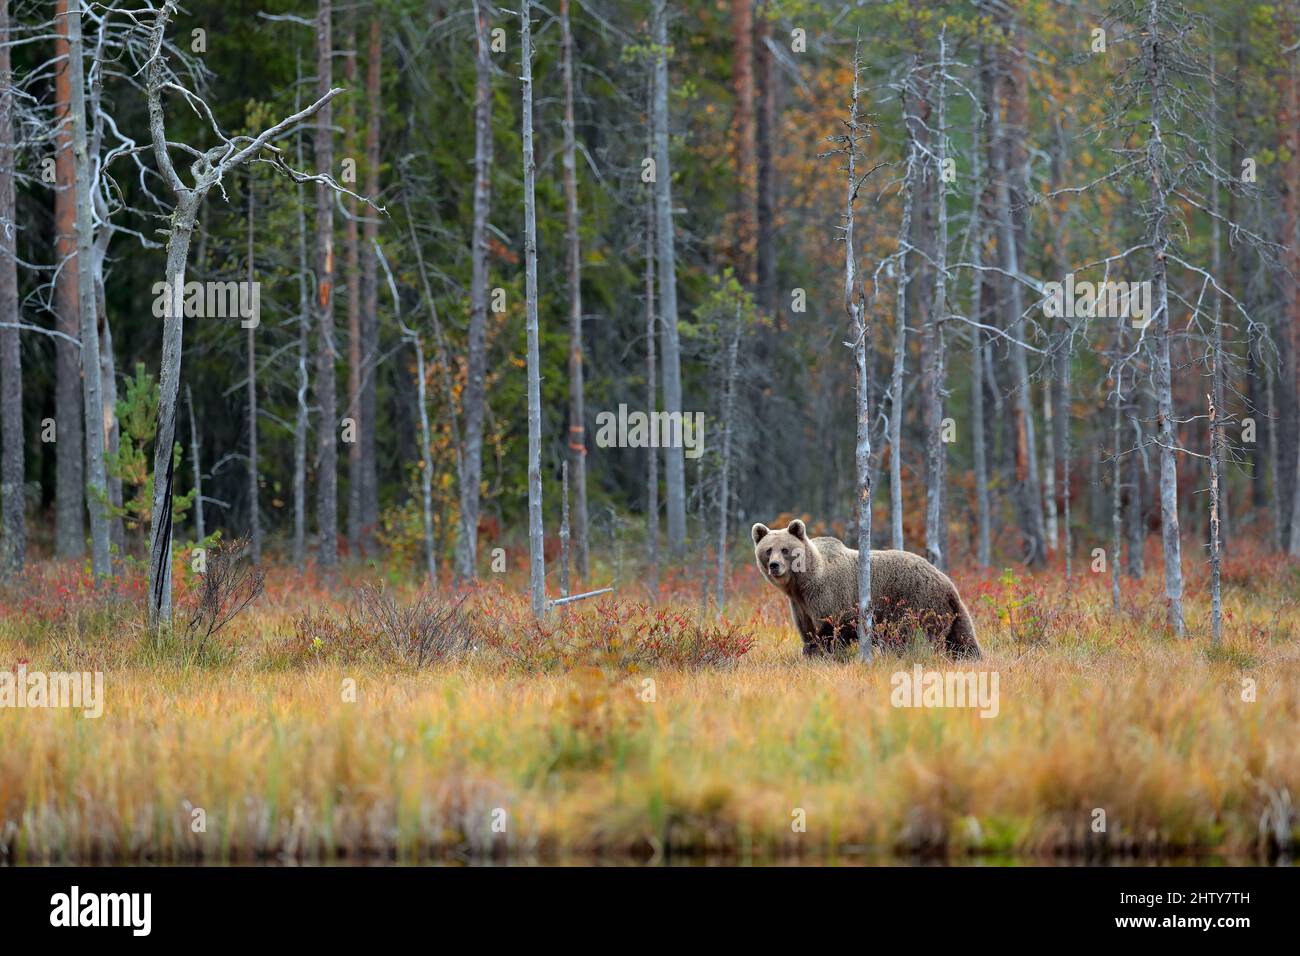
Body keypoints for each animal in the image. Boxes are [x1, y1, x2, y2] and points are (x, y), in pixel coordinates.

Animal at [748, 520, 977, 660]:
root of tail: (947, 582)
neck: (803, 583)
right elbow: (808, 633)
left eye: (785, 549)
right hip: (952, 612)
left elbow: (830, 632)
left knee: (913, 639)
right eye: (768, 550)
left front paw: (827, 656)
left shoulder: (831, 596)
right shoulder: (800, 605)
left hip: (917, 604)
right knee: (963, 639)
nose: (774, 565)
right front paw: (809, 653)